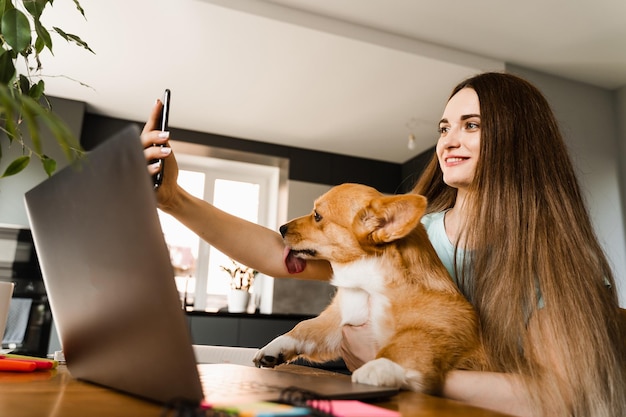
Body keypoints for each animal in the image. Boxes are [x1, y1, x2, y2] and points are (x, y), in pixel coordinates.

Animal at [251, 182, 486, 394]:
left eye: (317, 216)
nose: (281, 228)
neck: (366, 285)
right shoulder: (338, 320)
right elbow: (305, 327)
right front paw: (275, 347)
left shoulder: (439, 329)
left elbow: (406, 345)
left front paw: (379, 367)